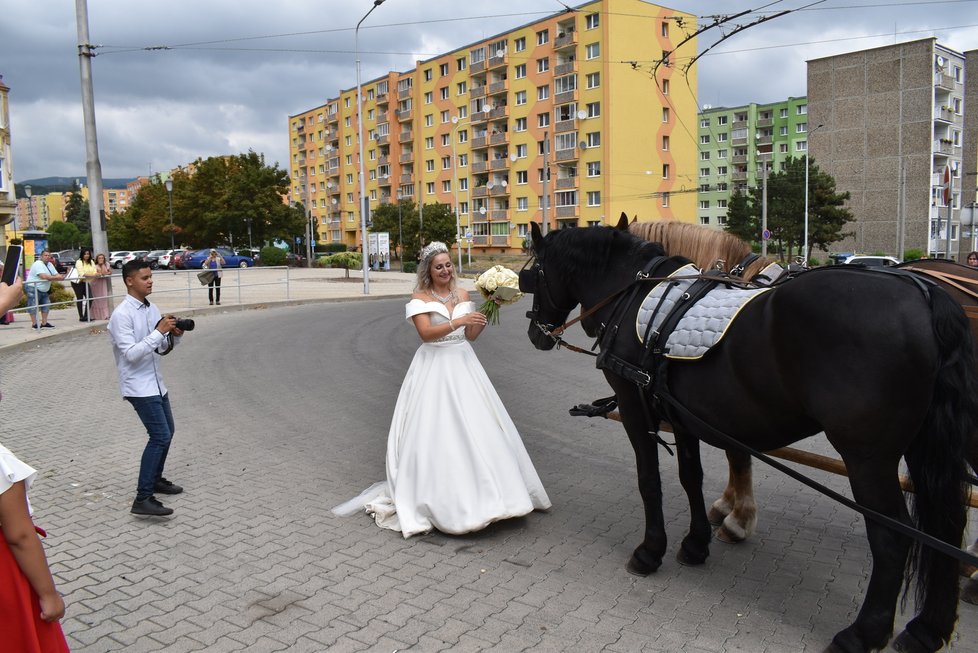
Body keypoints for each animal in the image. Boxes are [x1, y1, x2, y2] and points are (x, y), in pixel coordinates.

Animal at [524, 220, 972, 652]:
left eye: (534, 271)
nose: (536, 334)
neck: (637, 294)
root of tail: (923, 294)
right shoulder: (680, 415)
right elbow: (691, 478)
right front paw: (696, 543)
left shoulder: (636, 408)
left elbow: (650, 482)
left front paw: (651, 551)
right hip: (922, 448)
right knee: (945, 524)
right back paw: (929, 628)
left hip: (868, 458)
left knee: (892, 535)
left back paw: (863, 633)